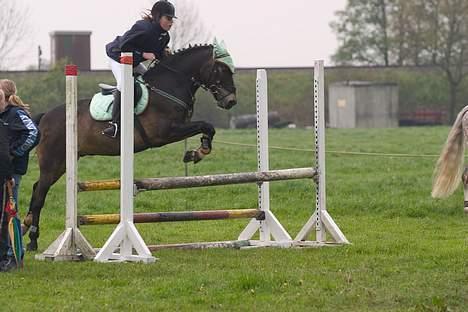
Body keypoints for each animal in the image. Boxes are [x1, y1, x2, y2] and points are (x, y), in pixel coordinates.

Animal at [24, 44, 238, 251]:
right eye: (221, 69)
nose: (231, 101)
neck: (168, 86)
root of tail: (45, 117)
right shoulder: (165, 133)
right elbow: (205, 125)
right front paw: (196, 153)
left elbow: (208, 128)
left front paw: (198, 151)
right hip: (53, 162)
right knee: (40, 195)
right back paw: (32, 240)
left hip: (62, 163)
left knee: (36, 188)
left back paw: (26, 225)